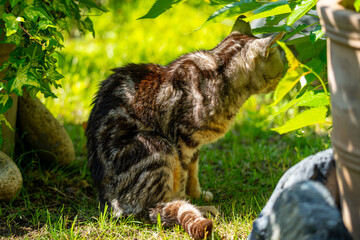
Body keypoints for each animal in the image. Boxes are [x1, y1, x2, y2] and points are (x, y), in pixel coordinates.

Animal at [86, 16, 284, 238]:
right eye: (282, 62)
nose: (287, 70)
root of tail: (109, 203)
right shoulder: (181, 140)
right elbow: (181, 179)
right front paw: (191, 202)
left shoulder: (194, 144)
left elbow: (193, 172)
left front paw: (197, 194)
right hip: (156, 144)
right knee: (155, 207)